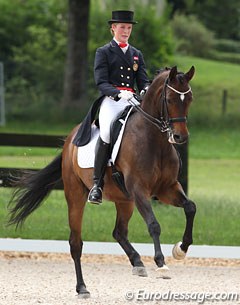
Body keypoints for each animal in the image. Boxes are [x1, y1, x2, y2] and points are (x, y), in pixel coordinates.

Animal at [7, 64, 195, 296]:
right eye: (169, 99)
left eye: (189, 99)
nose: (180, 137)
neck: (154, 140)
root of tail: (70, 140)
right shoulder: (139, 189)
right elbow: (154, 224)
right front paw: (161, 264)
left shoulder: (167, 188)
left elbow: (190, 207)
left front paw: (181, 249)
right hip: (76, 196)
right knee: (76, 242)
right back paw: (82, 288)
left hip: (125, 200)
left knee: (119, 232)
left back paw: (137, 263)